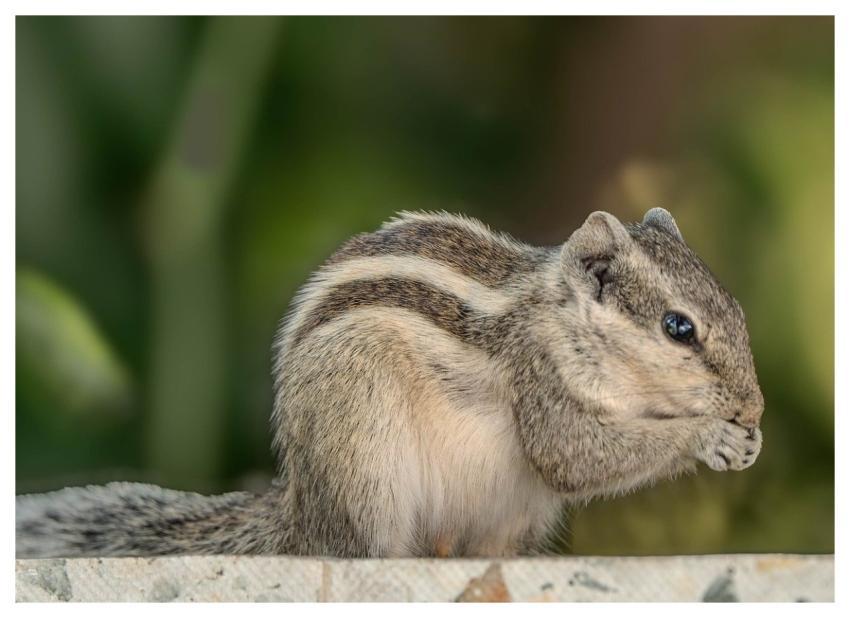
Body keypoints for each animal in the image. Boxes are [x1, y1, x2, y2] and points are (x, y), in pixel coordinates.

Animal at [16, 208, 764, 559]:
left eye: (736, 306)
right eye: (678, 327)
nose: (755, 406)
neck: (560, 318)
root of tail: (301, 509)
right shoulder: (541, 380)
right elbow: (571, 455)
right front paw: (709, 436)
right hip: (365, 459)